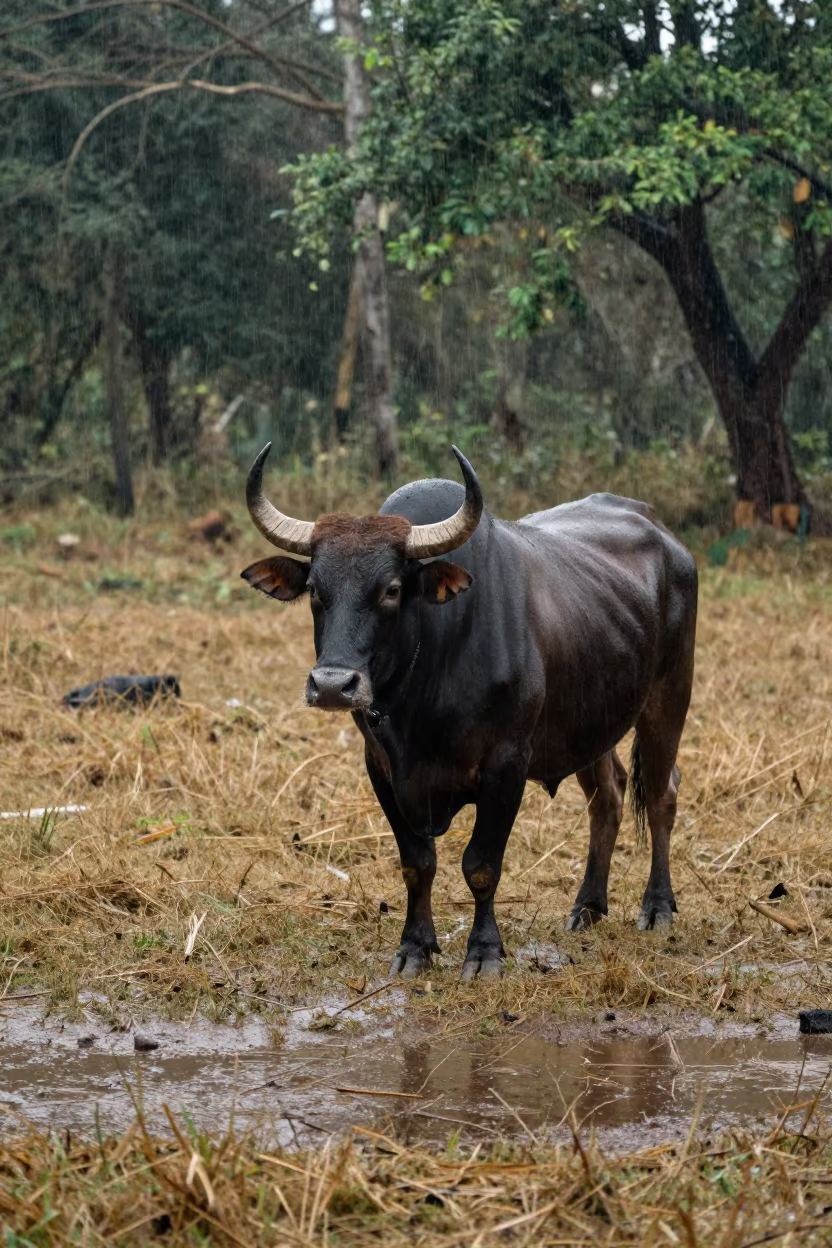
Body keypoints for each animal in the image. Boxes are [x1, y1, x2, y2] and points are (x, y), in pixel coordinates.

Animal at [241, 444, 698, 981]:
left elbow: (481, 865)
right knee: (608, 796)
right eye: (315, 588)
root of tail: (667, 539)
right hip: (591, 722)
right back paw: (587, 906)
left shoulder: (506, 765)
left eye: (392, 589)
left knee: (663, 793)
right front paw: (415, 947)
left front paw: (484, 953)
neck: (423, 693)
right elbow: (417, 863)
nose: (333, 685)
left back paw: (657, 906)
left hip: (668, 697)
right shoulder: (382, 768)